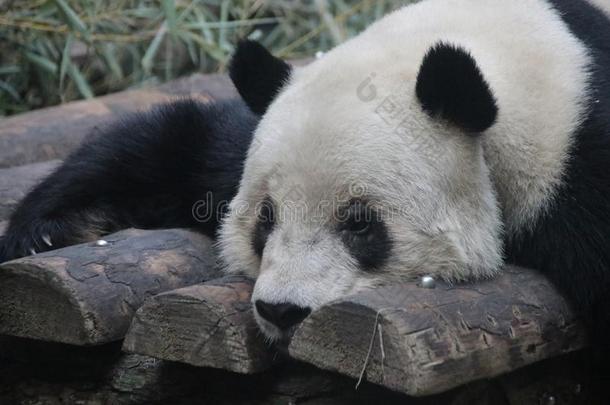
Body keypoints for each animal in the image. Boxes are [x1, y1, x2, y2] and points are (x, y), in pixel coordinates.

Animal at [1, 0, 608, 352]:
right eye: (265, 219)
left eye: (360, 224)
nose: (282, 311)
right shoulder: (240, 143)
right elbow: (173, 146)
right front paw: (49, 231)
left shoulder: (578, 158)